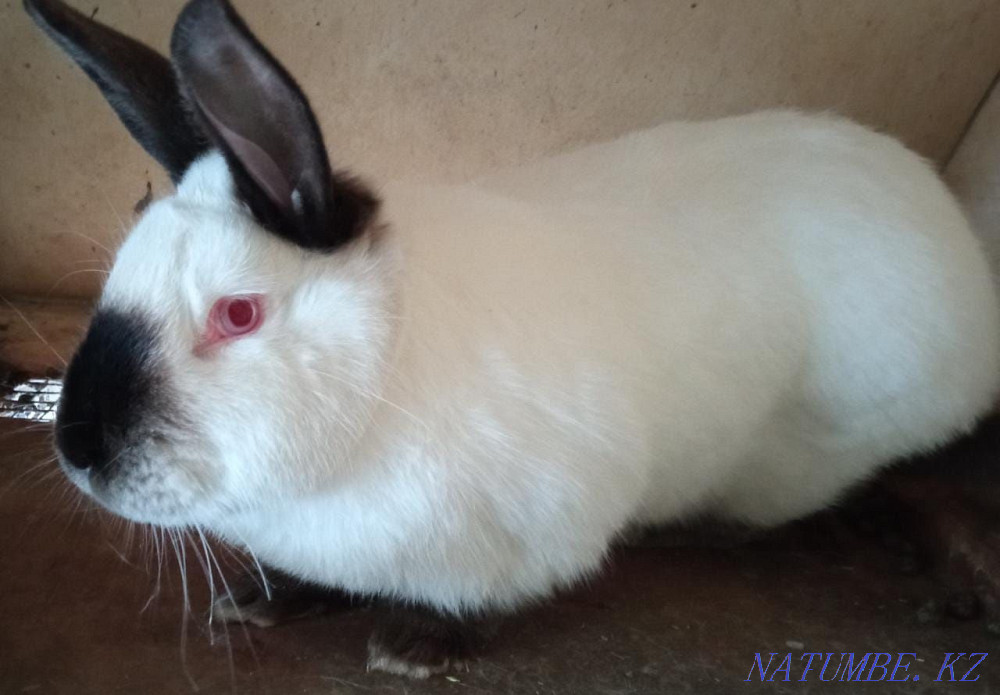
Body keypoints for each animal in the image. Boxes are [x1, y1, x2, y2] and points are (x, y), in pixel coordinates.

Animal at [26, 0, 1000, 679]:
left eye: (237, 315)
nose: (78, 448)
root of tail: (956, 242)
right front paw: (264, 603)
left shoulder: (545, 522)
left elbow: (486, 597)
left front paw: (417, 648)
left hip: (819, 447)